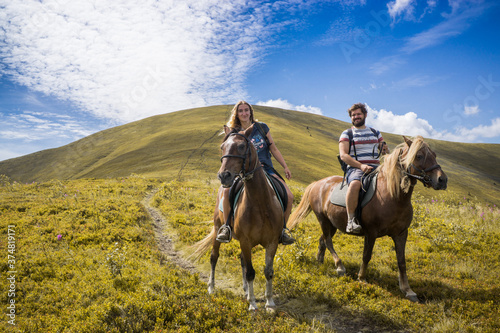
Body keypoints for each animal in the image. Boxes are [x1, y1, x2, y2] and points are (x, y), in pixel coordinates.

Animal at [193, 126, 284, 310]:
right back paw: (212, 287)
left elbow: (268, 271)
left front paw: (269, 302)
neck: (260, 203)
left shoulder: (272, 242)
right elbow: (250, 272)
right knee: (214, 257)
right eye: (222, 147)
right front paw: (253, 304)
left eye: (241, 146)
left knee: (242, 260)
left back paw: (246, 290)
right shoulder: (246, 241)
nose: (223, 176)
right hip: (217, 229)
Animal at [288, 135, 448, 300]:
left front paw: (407, 289)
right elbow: (366, 255)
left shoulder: (401, 234)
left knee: (323, 240)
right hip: (323, 220)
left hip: (332, 223)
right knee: (328, 241)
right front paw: (362, 278)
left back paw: (320, 261)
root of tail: (317, 184)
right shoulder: (371, 232)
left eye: (434, 155)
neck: (393, 196)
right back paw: (339, 266)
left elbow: (401, 261)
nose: (442, 180)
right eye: (419, 156)